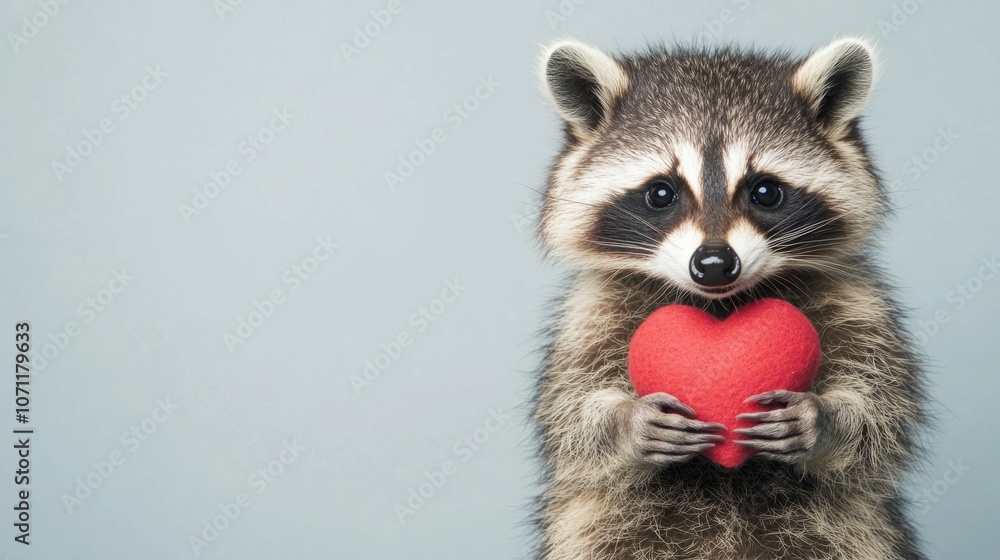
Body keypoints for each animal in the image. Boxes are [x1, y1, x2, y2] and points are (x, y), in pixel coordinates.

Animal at [532, 38, 927, 560]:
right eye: (661, 193)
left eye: (766, 192)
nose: (715, 263)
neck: (720, 301)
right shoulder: (591, 313)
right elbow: (570, 413)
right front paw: (626, 423)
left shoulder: (857, 300)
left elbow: (882, 410)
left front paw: (825, 420)